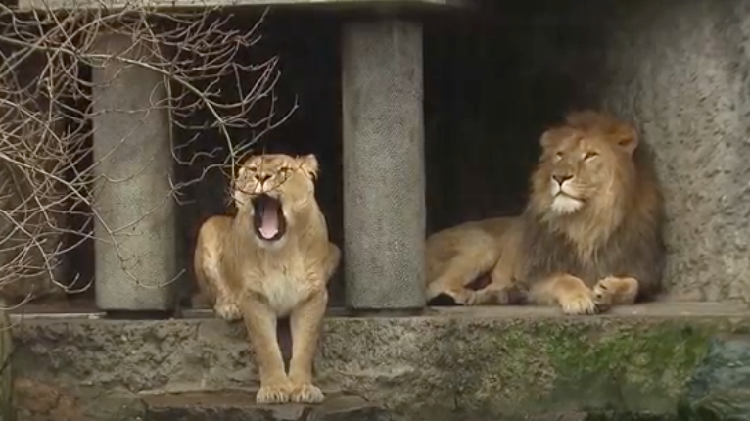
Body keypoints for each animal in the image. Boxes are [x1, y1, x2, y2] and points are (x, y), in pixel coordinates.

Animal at [194, 153, 340, 402]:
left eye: (284, 170)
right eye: (253, 169)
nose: (262, 177)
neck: (281, 253)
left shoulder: (311, 297)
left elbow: (305, 347)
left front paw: (302, 387)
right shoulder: (254, 297)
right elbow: (267, 348)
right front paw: (274, 389)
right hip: (209, 226)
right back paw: (229, 307)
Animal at [426, 110, 668, 314]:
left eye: (590, 155)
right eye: (560, 155)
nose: (559, 177)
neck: (587, 223)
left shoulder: (639, 273)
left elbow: (633, 286)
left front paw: (608, 290)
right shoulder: (536, 277)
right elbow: (564, 279)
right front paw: (579, 300)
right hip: (482, 244)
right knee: (436, 287)